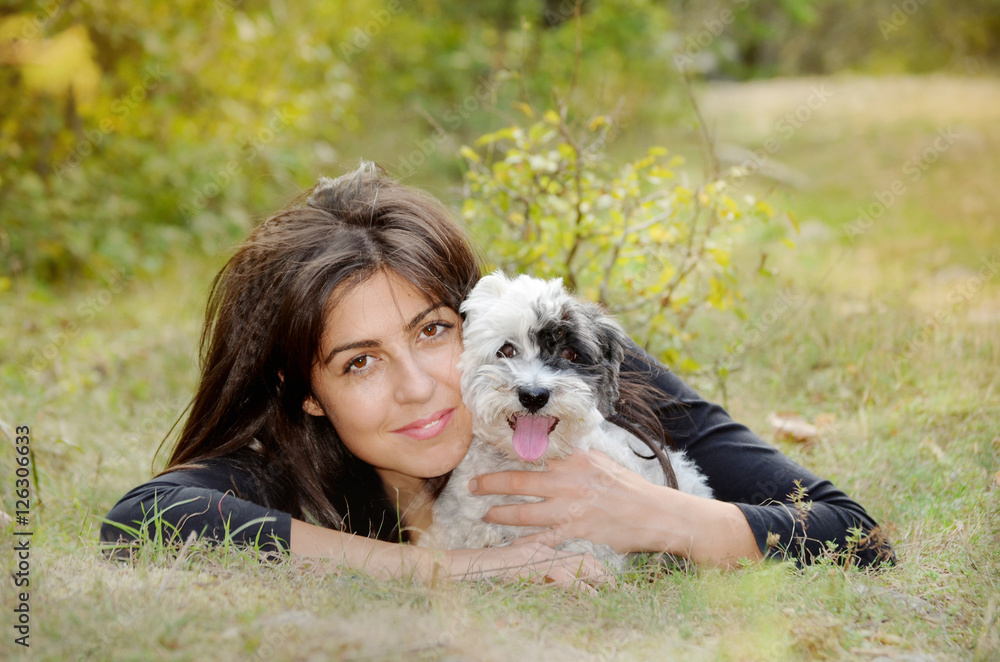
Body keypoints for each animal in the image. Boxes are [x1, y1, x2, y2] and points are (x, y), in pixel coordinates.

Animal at [420, 272, 712, 568]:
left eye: (569, 354)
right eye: (507, 350)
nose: (533, 396)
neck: (529, 465)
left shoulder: (601, 544)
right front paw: (483, 537)